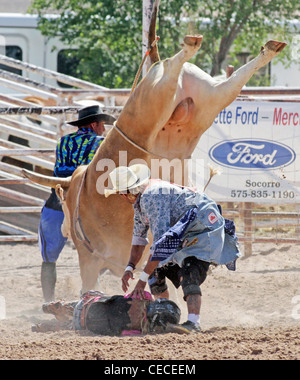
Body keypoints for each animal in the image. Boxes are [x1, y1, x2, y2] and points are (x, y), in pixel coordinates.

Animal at [22, 0, 286, 290]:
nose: (64, 230)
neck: (81, 190)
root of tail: (155, 63)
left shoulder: (89, 261)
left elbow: (89, 286)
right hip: (212, 97)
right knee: (230, 81)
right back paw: (266, 50)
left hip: (151, 99)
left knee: (172, 66)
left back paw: (189, 45)